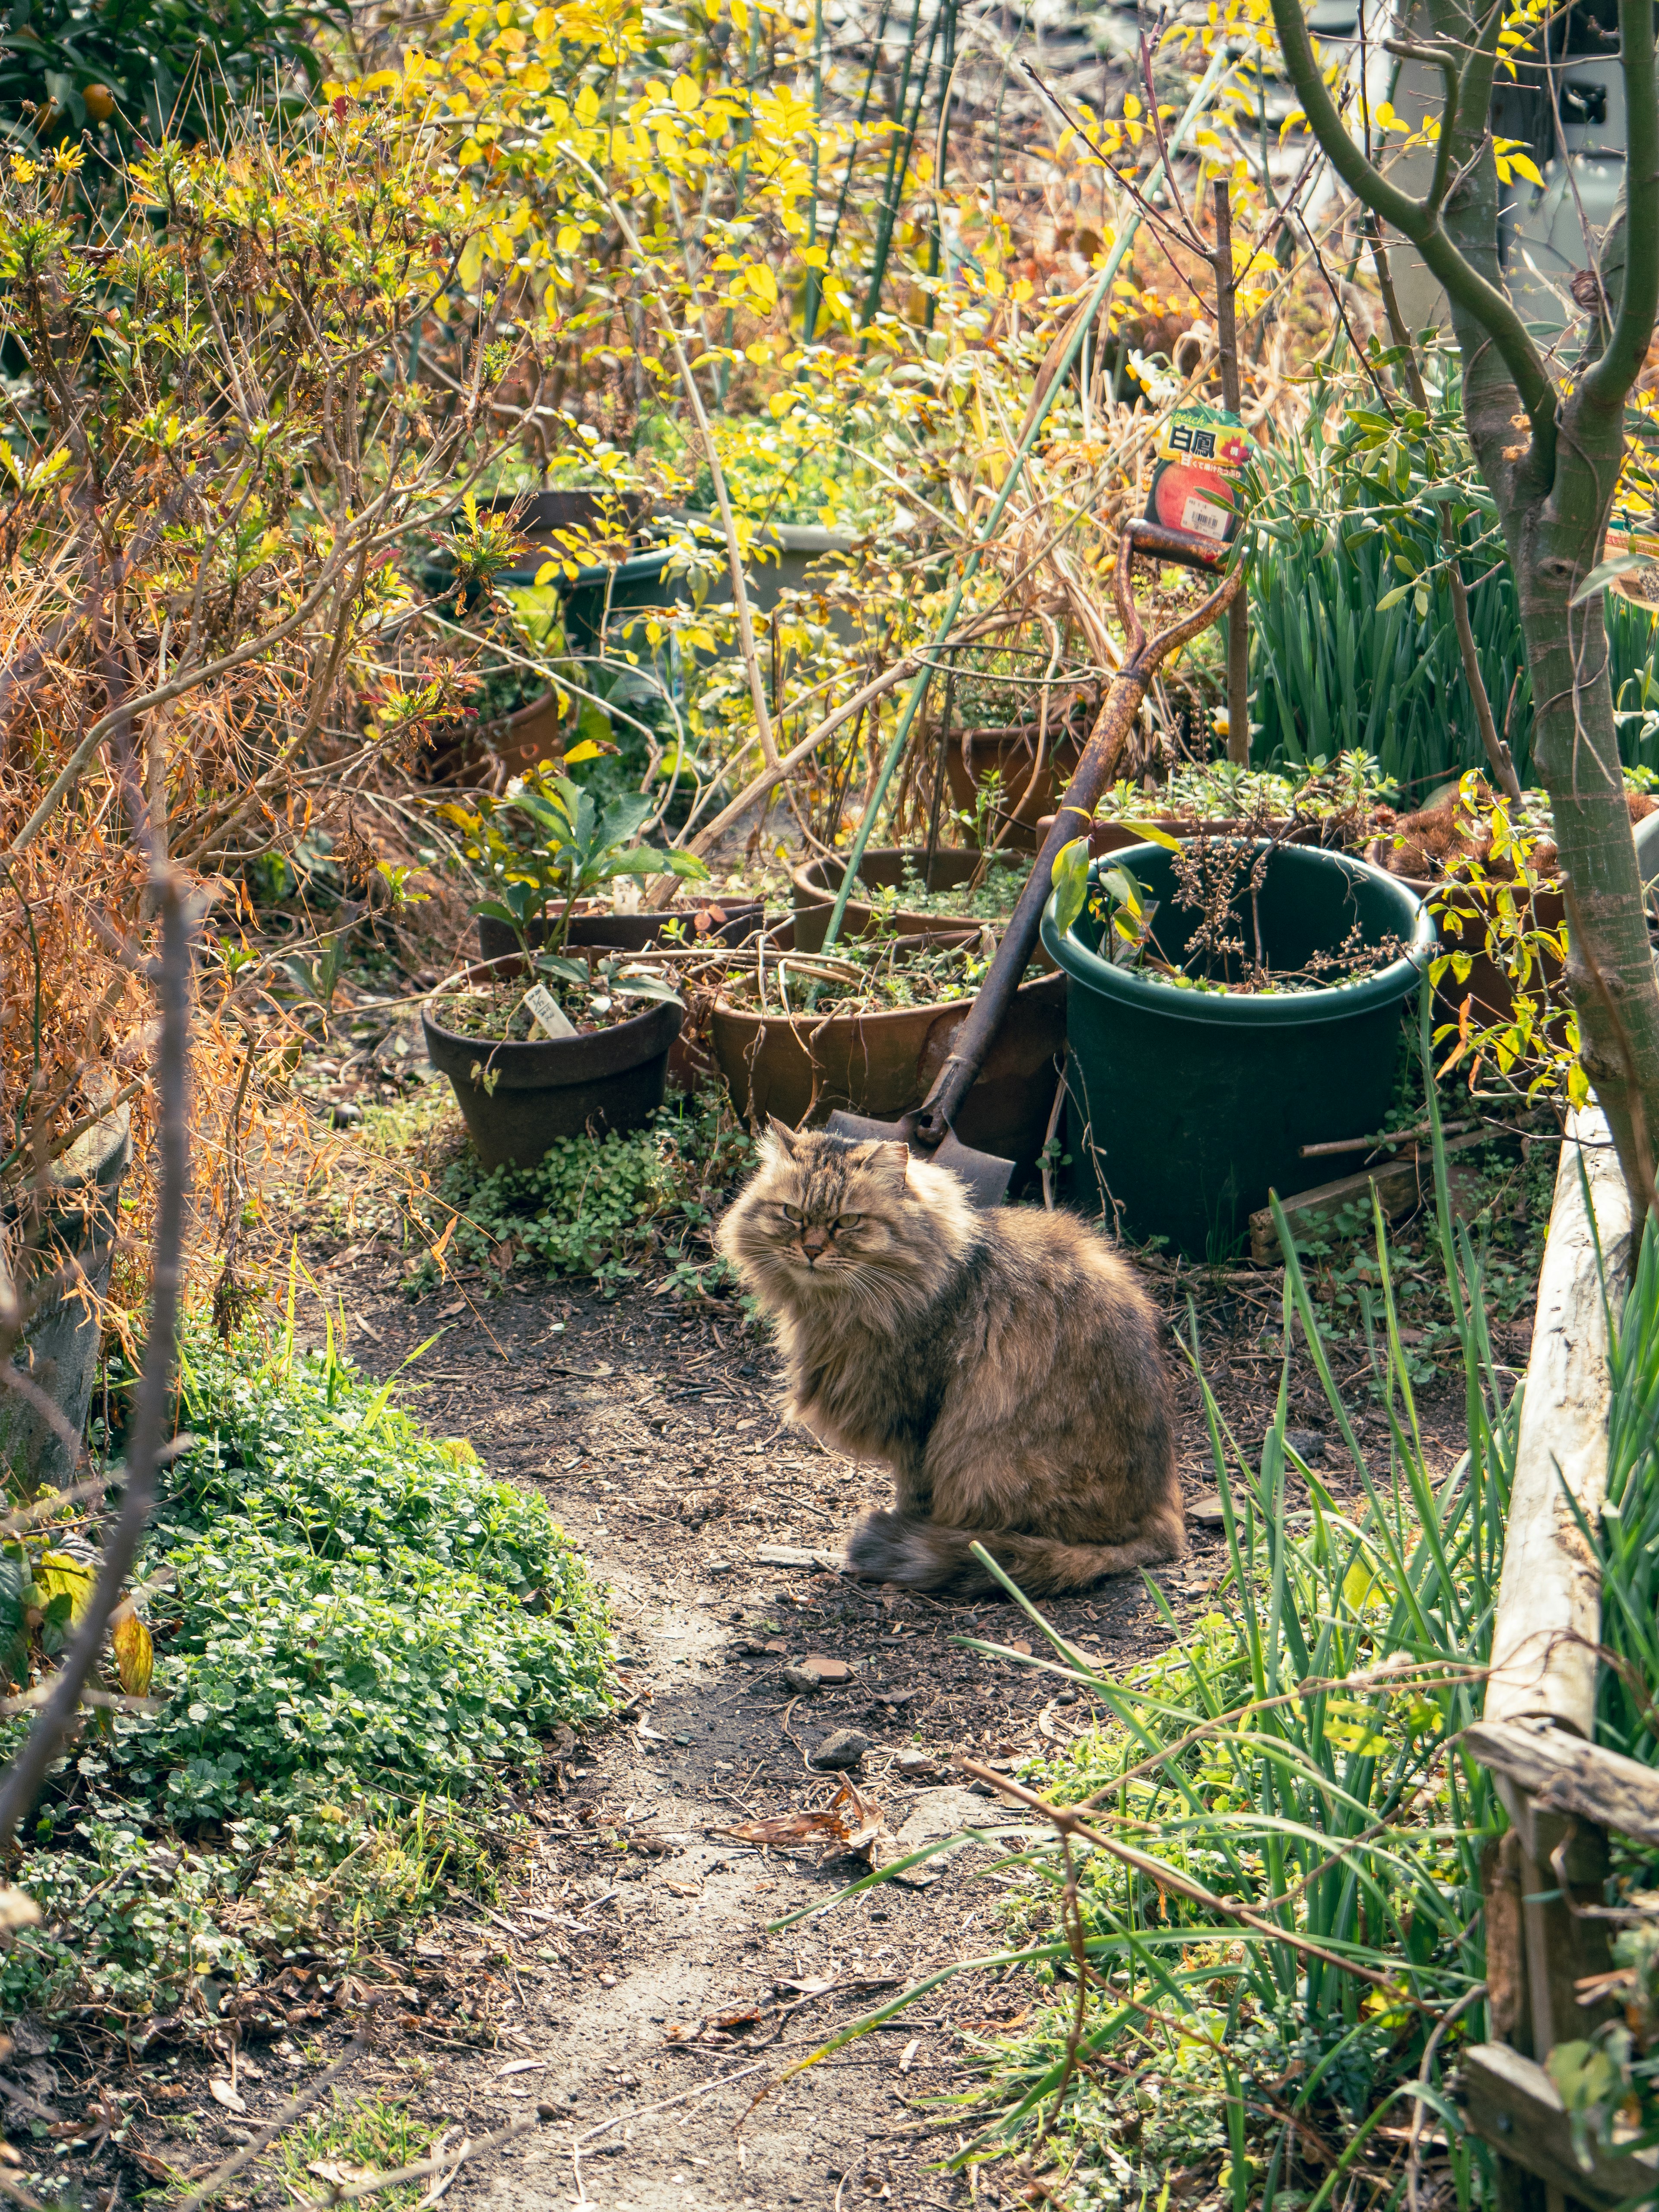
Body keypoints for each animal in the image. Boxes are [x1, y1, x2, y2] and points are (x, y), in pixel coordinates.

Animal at [721, 1123, 1185, 1592]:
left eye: (849, 1221)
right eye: (792, 1214)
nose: (812, 1249)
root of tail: (1164, 1522)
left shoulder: (917, 1417)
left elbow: (912, 1491)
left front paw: (905, 1526)